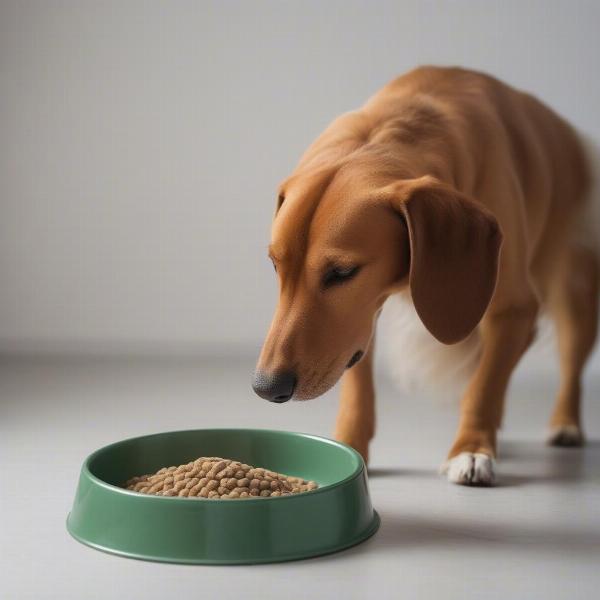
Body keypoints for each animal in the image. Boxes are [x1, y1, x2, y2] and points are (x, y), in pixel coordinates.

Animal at [251, 65, 596, 486]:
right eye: (275, 265)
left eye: (342, 272)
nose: (266, 387)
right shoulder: (358, 323)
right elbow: (358, 385)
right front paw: (351, 445)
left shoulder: (514, 309)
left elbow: (483, 388)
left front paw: (471, 449)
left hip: (575, 290)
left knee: (568, 362)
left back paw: (565, 423)